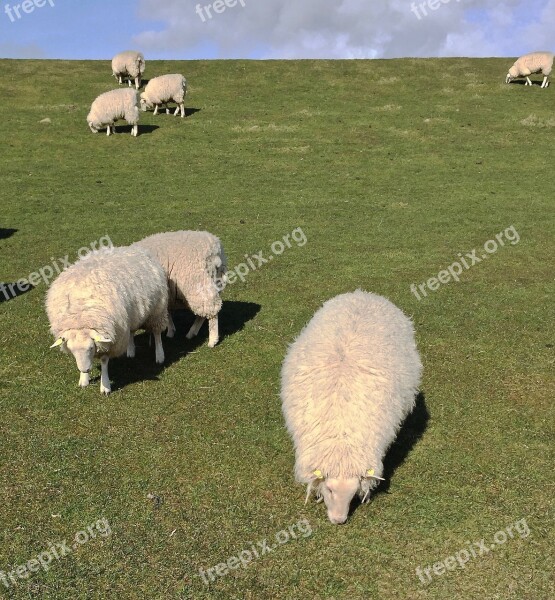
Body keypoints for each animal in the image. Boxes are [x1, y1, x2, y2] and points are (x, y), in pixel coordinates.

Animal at [46, 246, 168, 396]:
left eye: (91, 348)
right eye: (72, 350)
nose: (85, 369)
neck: (81, 315)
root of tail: (135, 248)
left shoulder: (110, 339)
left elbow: (104, 361)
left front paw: (105, 386)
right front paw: (84, 379)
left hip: (158, 309)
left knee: (157, 333)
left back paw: (159, 355)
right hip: (131, 315)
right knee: (131, 331)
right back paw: (130, 350)